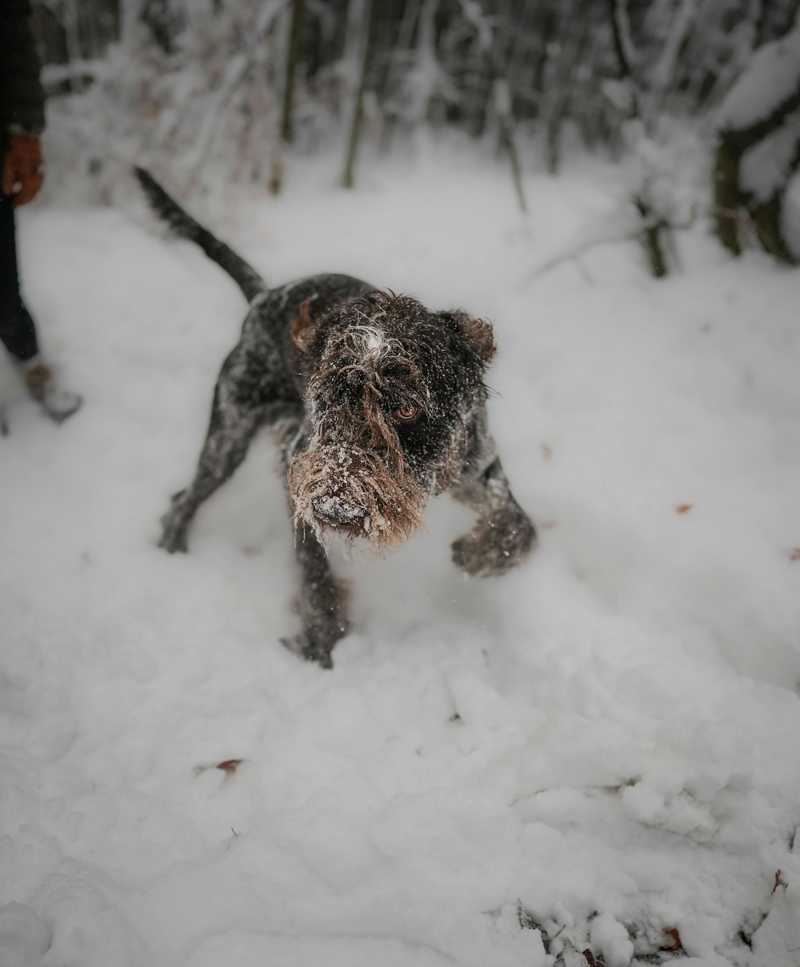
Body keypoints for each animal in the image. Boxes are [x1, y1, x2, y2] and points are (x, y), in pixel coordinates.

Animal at [136, 168, 536, 664]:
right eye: (327, 401)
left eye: (406, 408)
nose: (336, 508)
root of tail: (264, 296)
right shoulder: (300, 478)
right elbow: (315, 576)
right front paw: (320, 641)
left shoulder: (475, 464)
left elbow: (520, 528)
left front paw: (478, 556)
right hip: (228, 435)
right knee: (185, 500)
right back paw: (170, 552)